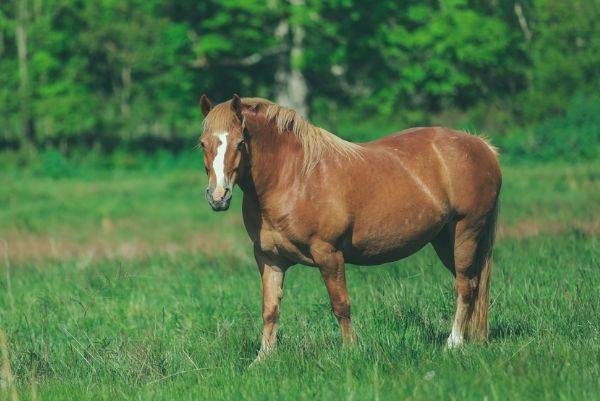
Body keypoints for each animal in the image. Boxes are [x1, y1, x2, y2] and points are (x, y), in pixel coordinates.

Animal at [198, 94, 502, 362]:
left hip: (466, 232)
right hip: (444, 240)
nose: (218, 196)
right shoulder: (270, 259)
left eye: (240, 143)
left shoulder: (328, 254)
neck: (293, 177)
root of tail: (482, 145)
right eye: (202, 144)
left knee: (465, 286)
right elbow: (270, 309)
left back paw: (453, 344)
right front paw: (262, 359)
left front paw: (350, 351)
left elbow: (341, 305)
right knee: (473, 284)